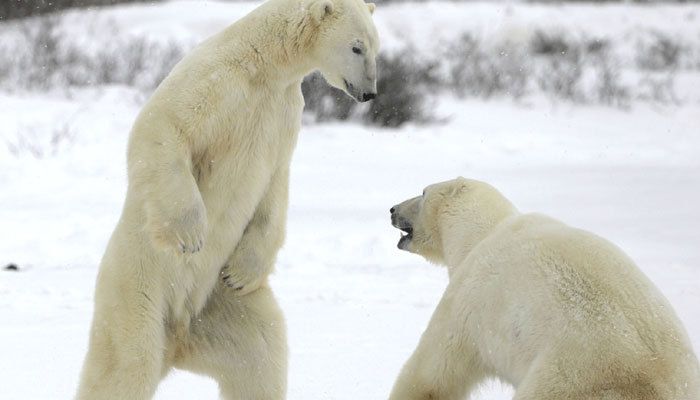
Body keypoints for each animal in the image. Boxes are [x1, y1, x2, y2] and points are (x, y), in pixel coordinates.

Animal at [74, 0, 379, 398]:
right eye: (356, 47)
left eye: (376, 47)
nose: (371, 93)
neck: (266, 64)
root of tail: (178, 339)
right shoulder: (216, 79)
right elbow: (165, 124)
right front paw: (191, 234)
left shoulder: (284, 111)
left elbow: (275, 185)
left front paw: (242, 272)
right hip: (138, 287)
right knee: (127, 362)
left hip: (223, 305)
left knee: (262, 355)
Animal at [388, 177, 700, 400]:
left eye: (423, 192)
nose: (392, 210)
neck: (484, 232)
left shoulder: (468, 298)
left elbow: (431, 372)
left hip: (567, 379)